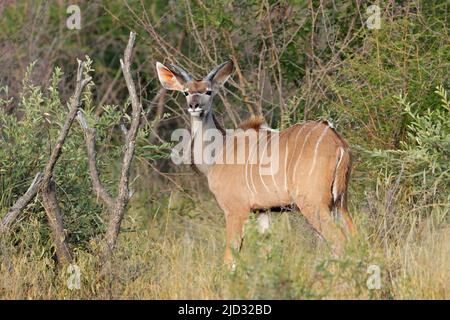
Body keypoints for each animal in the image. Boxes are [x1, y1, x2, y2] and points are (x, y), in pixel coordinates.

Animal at [156, 60, 356, 264]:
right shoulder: (262, 211)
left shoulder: (235, 210)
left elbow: (230, 257)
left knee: (338, 240)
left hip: (313, 203)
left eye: (208, 91)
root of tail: (337, 142)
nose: (194, 106)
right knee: (354, 234)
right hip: (340, 202)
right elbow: (265, 252)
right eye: (186, 92)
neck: (219, 150)